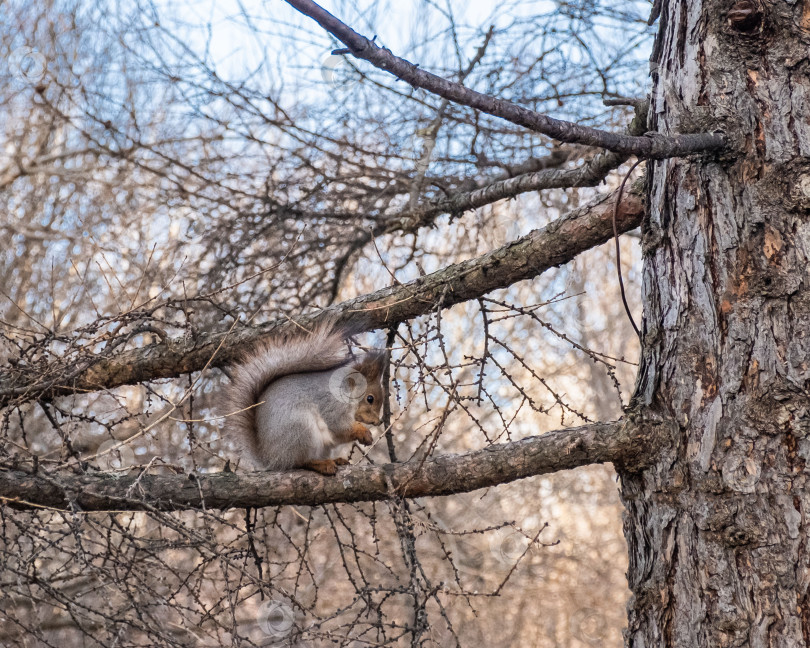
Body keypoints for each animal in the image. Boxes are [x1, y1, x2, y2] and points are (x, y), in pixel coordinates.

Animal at [223, 324, 384, 476]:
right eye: (370, 399)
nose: (378, 422)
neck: (345, 390)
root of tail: (271, 459)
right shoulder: (331, 405)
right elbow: (339, 426)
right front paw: (362, 432)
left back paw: (336, 460)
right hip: (301, 430)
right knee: (299, 462)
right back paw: (321, 464)